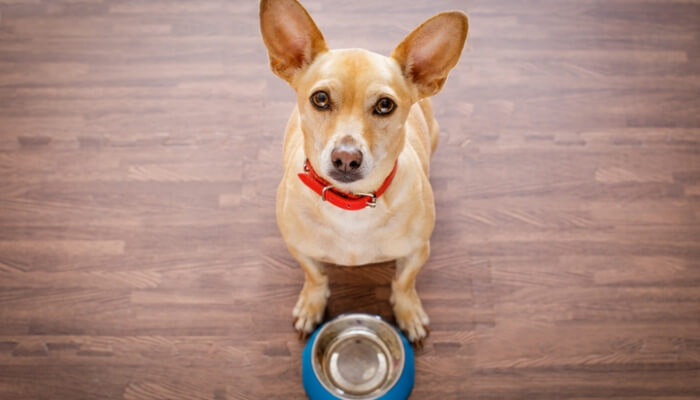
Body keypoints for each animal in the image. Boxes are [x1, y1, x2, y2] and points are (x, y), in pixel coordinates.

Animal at [260, 0, 468, 344]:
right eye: (320, 99)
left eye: (385, 105)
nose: (346, 158)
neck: (351, 204)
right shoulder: (300, 249)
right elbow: (315, 276)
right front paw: (311, 304)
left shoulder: (417, 252)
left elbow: (403, 282)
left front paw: (408, 312)